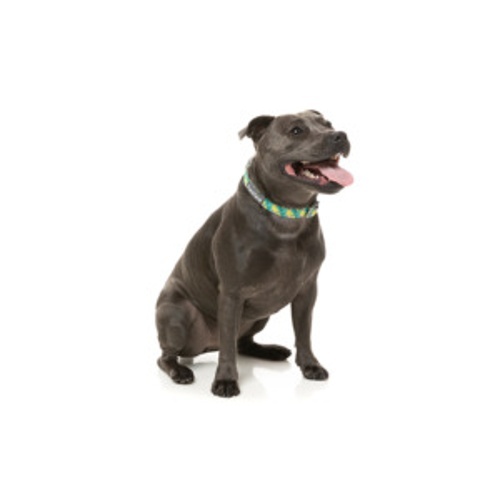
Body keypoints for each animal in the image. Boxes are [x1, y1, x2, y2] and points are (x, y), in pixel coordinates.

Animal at [156, 110, 353, 397]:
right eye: (296, 130)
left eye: (328, 124)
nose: (340, 135)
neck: (287, 215)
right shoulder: (232, 294)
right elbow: (227, 346)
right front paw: (226, 380)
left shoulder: (307, 292)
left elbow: (304, 332)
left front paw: (310, 365)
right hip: (176, 315)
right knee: (167, 356)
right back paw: (179, 371)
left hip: (260, 316)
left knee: (243, 342)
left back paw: (270, 351)